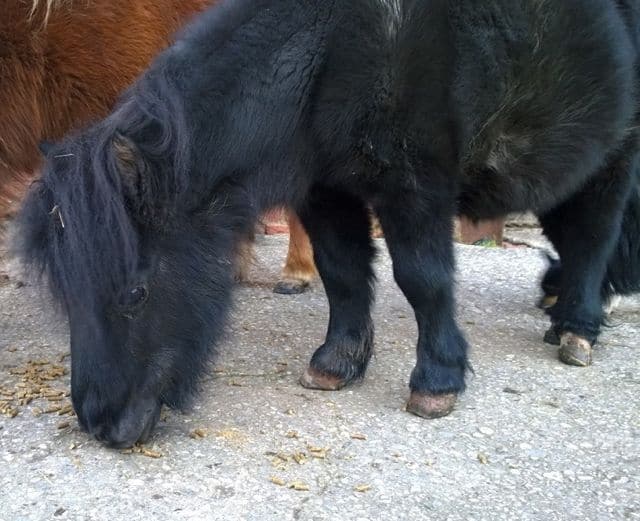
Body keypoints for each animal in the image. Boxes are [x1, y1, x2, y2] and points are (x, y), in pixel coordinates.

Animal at [16, 0, 640, 448]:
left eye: (135, 294)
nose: (99, 422)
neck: (335, 45)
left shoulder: (414, 186)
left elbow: (423, 279)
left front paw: (437, 381)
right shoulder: (325, 190)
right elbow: (341, 272)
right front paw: (337, 363)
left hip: (612, 158)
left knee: (593, 236)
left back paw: (578, 327)